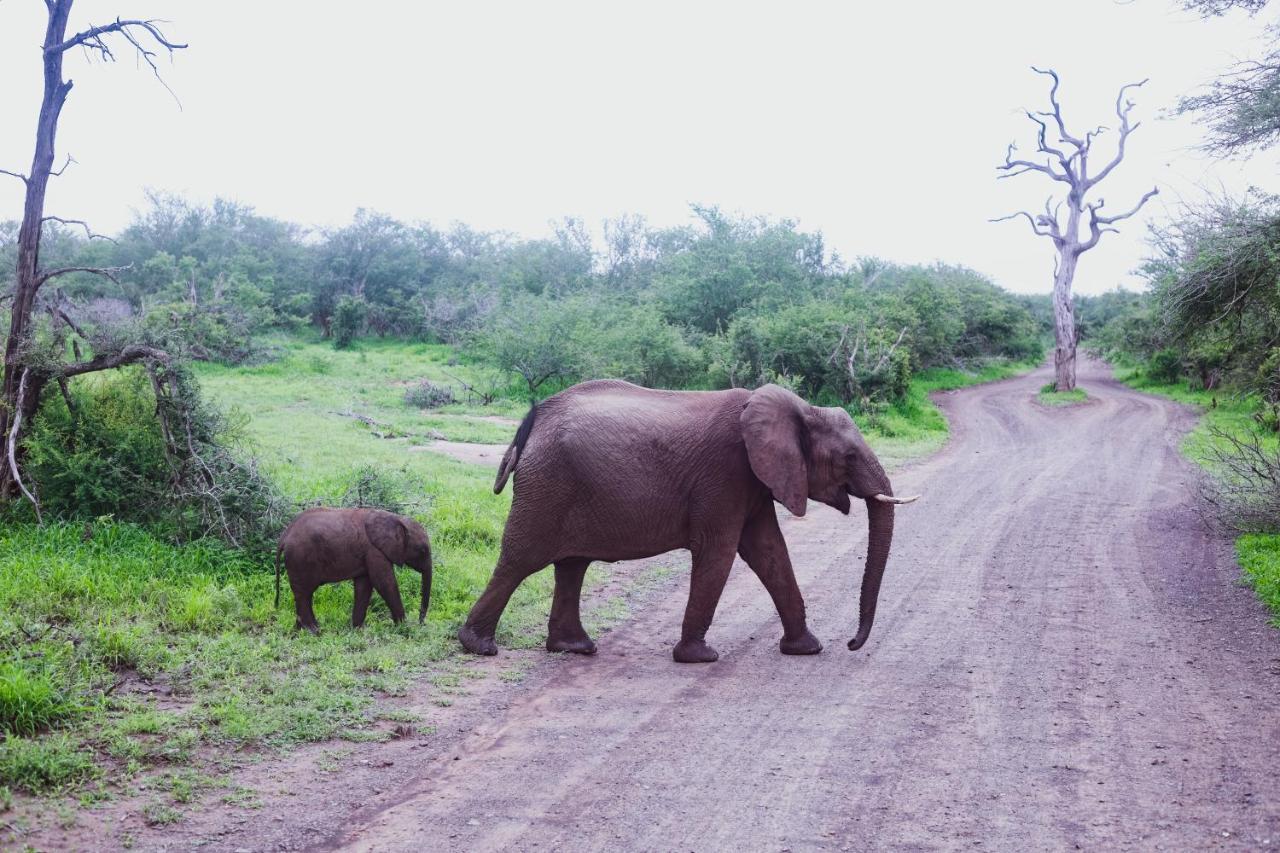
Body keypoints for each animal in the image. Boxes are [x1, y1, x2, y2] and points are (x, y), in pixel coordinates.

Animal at [272, 504, 432, 630]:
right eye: (422, 550)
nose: (421, 623)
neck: (396, 519)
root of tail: (284, 536)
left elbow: (364, 585)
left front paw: (357, 629)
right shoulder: (374, 550)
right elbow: (384, 583)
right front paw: (403, 627)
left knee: (304, 594)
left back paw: (302, 630)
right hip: (299, 558)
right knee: (304, 594)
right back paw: (314, 631)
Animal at [455, 379, 916, 666]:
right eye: (849, 457)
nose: (852, 643)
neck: (799, 408)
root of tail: (533, 421)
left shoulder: (752, 481)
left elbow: (769, 551)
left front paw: (806, 649)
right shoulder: (725, 474)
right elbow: (720, 552)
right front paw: (699, 658)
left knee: (571, 566)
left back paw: (575, 649)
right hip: (548, 485)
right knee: (520, 560)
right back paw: (480, 647)